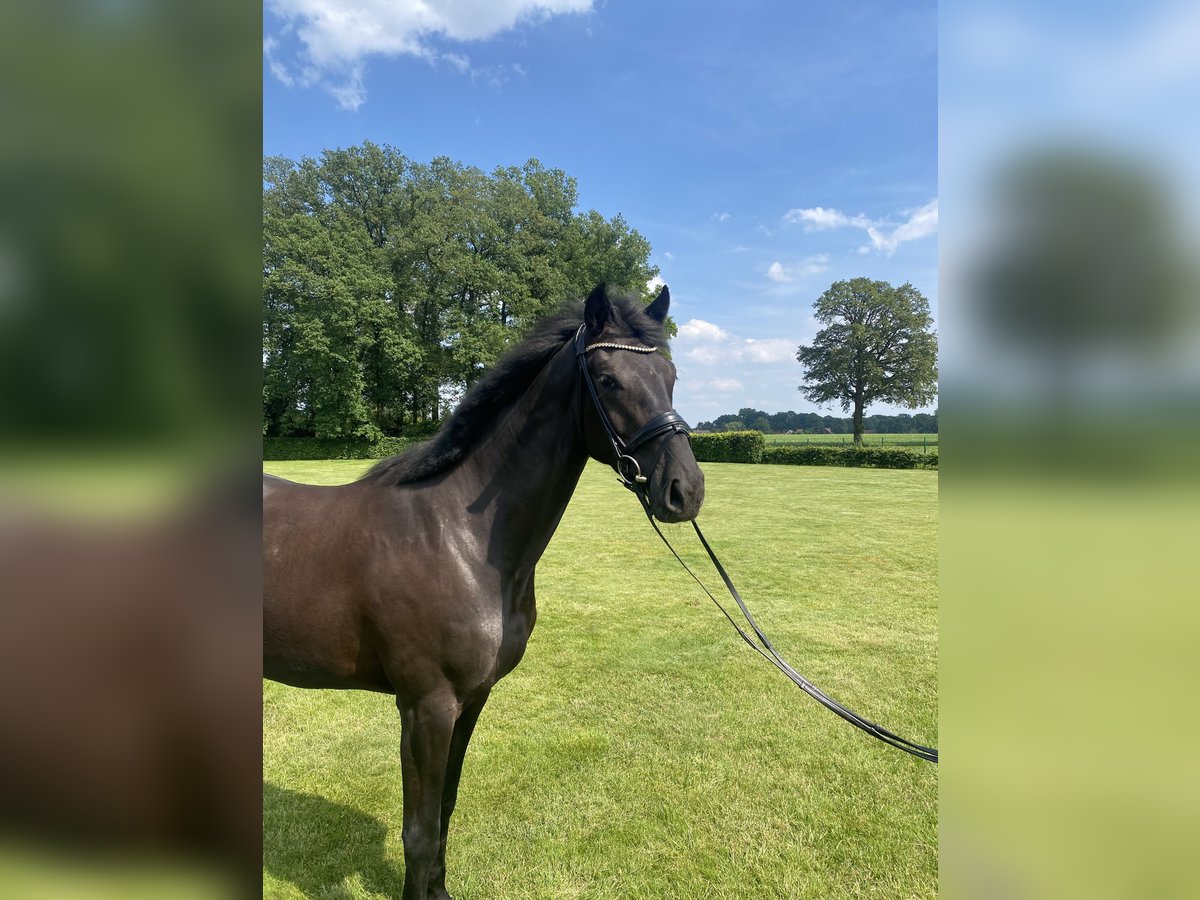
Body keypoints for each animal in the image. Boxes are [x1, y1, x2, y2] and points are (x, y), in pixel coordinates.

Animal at [265, 283, 700, 900]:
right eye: (609, 379)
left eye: (670, 375)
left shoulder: (472, 700)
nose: (685, 490)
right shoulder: (425, 707)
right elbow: (419, 831)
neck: (458, 537)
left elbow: (445, 811)